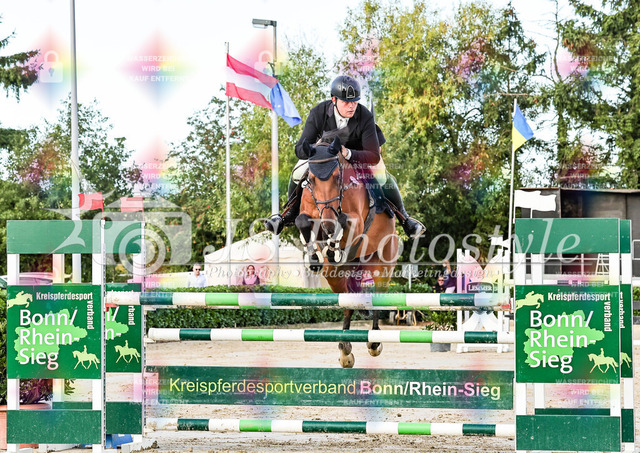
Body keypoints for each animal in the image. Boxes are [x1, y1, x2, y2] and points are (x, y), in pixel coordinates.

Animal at [295, 133, 398, 368]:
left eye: (336, 177)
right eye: (310, 179)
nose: (327, 223)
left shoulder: (356, 221)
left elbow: (345, 221)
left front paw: (333, 247)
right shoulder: (309, 213)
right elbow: (302, 220)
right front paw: (314, 257)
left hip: (382, 266)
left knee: (377, 297)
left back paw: (374, 342)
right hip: (335, 276)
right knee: (347, 302)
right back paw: (344, 348)